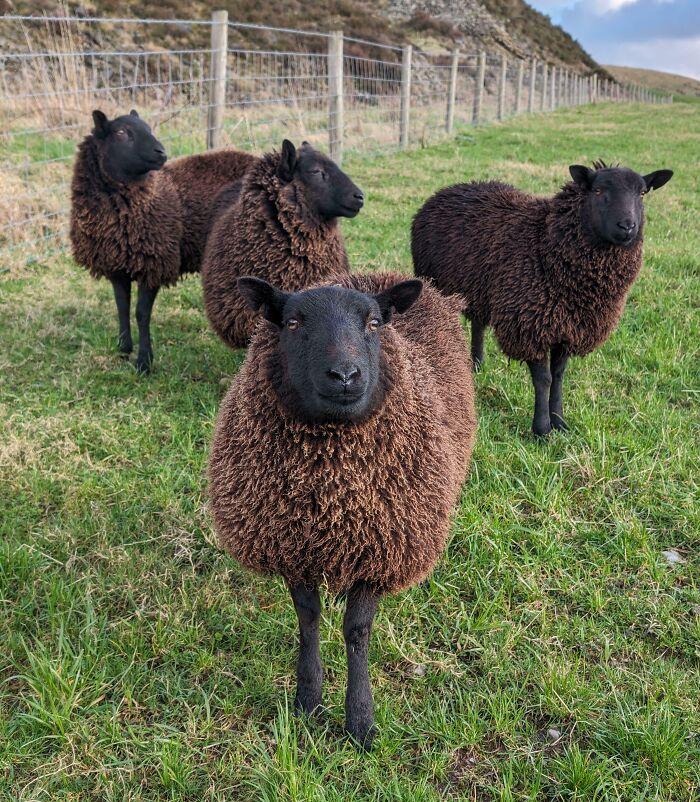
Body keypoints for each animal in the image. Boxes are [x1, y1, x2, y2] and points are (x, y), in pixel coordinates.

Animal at [70, 109, 258, 373]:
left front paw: (144, 362)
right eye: (121, 132)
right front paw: (123, 349)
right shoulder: (116, 265)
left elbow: (141, 313)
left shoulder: (154, 263)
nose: (161, 152)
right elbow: (122, 306)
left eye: (149, 128)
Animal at [208, 271, 476, 749]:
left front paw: (361, 722)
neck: (333, 499)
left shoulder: (378, 549)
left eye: (373, 323)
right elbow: (308, 618)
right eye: (293, 322)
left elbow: (356, 631)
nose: (345, 376)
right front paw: (308, 701)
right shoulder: (292, 545)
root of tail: (383, 275)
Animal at [412, 161, 673, 437]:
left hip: (479, 290)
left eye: (642, 193)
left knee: (479, 324)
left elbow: (558, 376)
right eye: (598, 190)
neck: (545, 245)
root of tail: (449, 189)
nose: (627, 226)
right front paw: (541, 429)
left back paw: (476, 364)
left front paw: (560, 422)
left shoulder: (569, 330)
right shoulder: (530, 326)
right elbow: (544, 379)